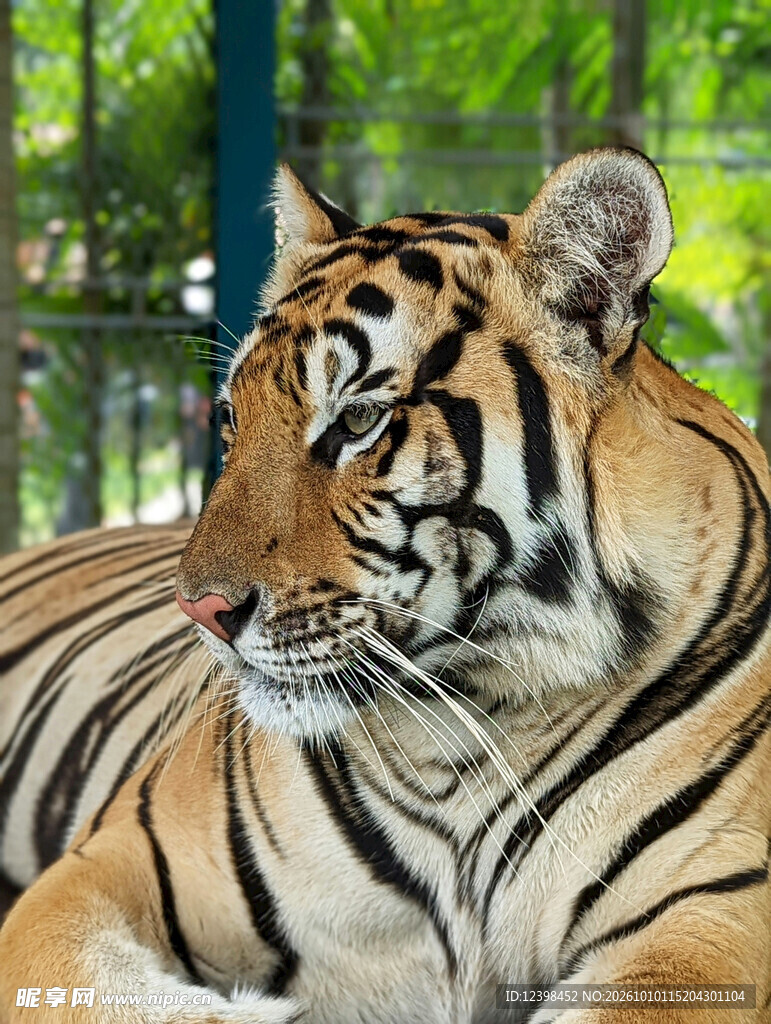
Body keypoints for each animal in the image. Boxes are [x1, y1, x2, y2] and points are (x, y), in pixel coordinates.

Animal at [0, 147, 768, 1024]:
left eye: (357, 421)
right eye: (230, 419)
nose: (200, 609)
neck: (462, 727)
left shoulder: (704, 923)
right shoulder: (94, 873)